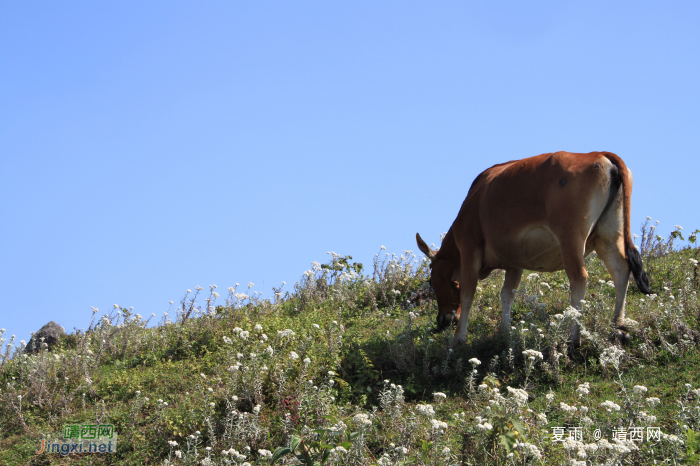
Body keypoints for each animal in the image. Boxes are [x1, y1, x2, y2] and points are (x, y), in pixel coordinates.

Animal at [416, 151, 652, 348]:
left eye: (432, 282)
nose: (442, 320)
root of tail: (597, 154)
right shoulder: (514, 261)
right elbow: (507, 294)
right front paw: (504, 333)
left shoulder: (469, 246)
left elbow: (467, 294)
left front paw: (458, 339)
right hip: (608, 235)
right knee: (621, 270)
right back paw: (618, 327)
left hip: (571, 237)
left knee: (579, 278)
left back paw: (573, 338)